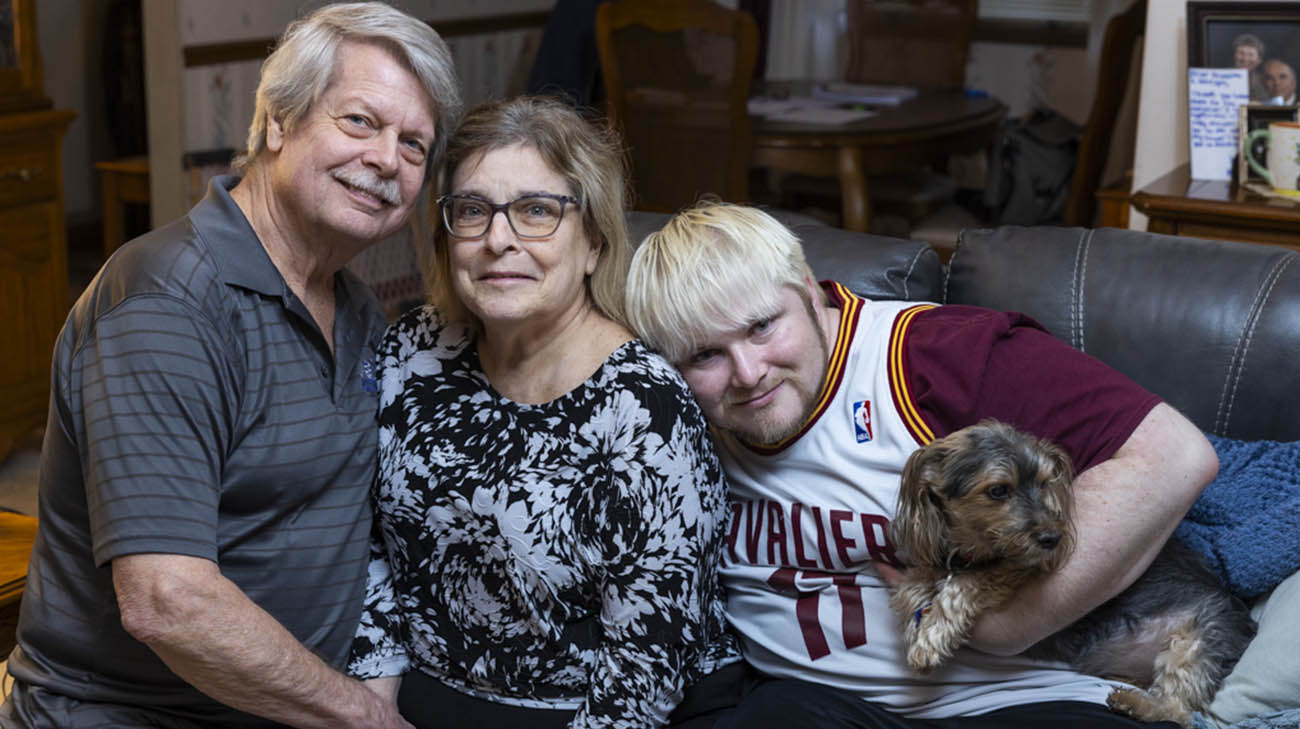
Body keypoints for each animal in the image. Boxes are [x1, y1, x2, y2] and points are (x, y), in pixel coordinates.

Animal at [889, 418, 1253, 722]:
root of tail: (1248, 625)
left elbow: (967, 582)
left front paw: (930, 638)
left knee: (1179, 711)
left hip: (1199, 639)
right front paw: (916, 614)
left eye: (1044, 483)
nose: (1053, 538)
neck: (973, 549)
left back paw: (1135, 704)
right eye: (998, 490)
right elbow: (913, 584)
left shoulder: (1021, 568)